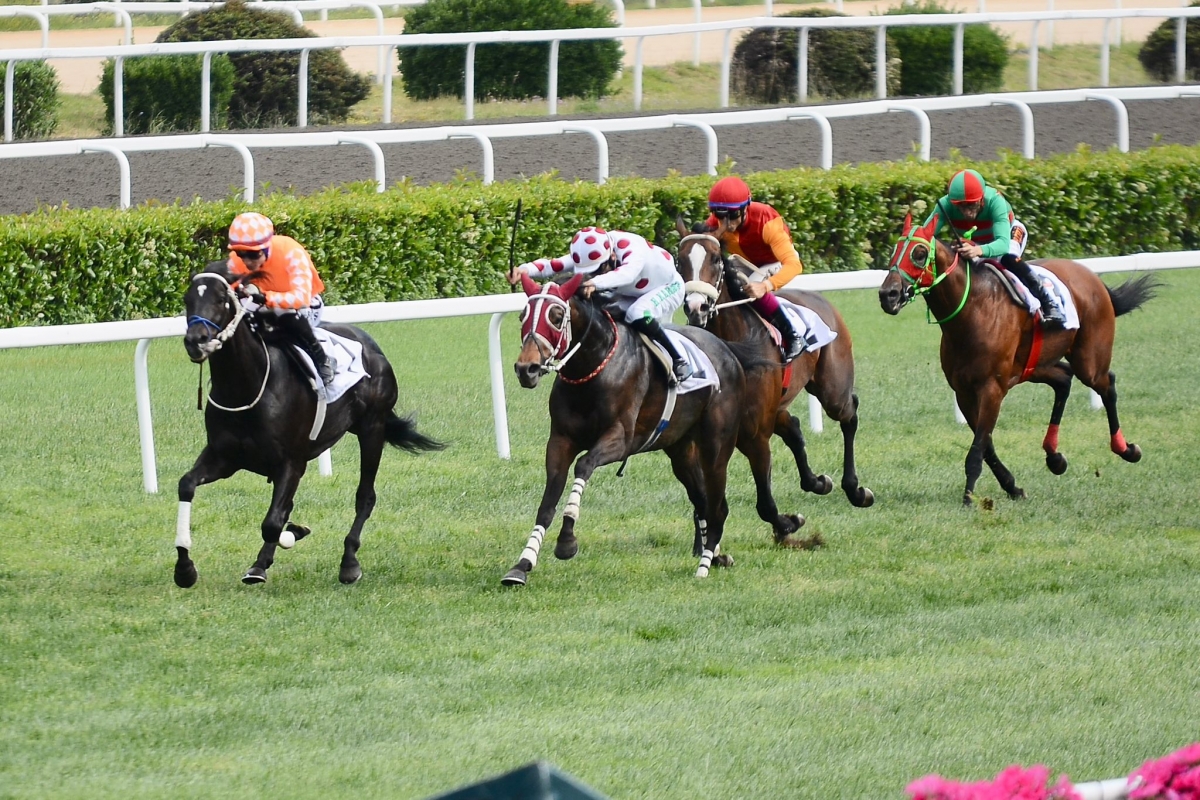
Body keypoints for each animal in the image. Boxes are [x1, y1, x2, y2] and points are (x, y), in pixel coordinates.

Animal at [175, 262, 444, 587]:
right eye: (188, 299)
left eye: (221, 300)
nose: (196, 340)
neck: (248, 387)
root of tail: (371, 344)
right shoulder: (224, 457)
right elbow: (187, 485)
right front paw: (185, 569)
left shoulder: (292, 462)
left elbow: (273, 523)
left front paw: (294, 533)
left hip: (372, 428)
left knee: (365, 496)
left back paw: (349, 562)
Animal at [499, 272, 744, 585]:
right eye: (522, 316)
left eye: (556, 316)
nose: (526, 369)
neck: (591, 370)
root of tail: (727, 350)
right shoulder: (560, 441)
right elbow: (547, 503)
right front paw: (522, 564)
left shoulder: (620, 439)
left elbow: (583, 465)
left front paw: (567, 541)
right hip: (681, 450)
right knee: (702, 499)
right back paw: (716, 556)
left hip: (716, 446)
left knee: (718, 505)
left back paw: (704, 565)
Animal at [676, 221, 873, 544]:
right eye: (680, 261)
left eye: (716, 260)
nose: (696, 307)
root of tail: (822, 300)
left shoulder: (755, 433)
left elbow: (765, 504)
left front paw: (788, 524)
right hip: (779, 402)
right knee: (793, 427)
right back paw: (818, 482)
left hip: (831, 389)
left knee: (849, 413)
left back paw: (855, 490)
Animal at [883, 212, 1152, 506]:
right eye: (894, 250)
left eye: (920, 253)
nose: (888, 295)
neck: (972, 311)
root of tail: (1093, 278)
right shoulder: (964, 391)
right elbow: (986, 445)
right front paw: (1012, 487)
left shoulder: (992, 388)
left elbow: (978, 448)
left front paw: (969, 498)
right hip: (1034, 365)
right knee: (1064, 379)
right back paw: (1055, 457)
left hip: (1089, 361)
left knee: (1106, 383)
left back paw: (1126, 449)